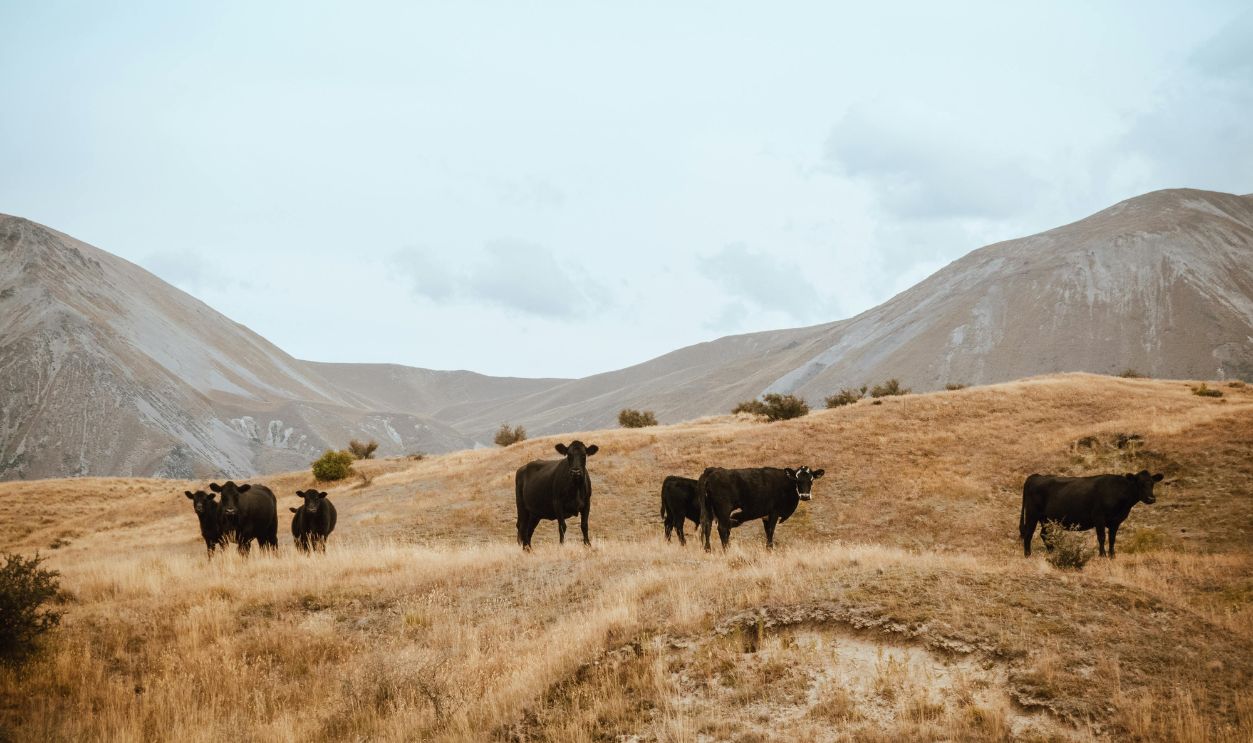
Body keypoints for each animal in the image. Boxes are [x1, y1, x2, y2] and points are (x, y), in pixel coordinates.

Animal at [1020, 470, 1163, 558]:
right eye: (1139, 483)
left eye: (1152, 483)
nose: (1151, 498)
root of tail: (1036, 476)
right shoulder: (1099, 517)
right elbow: (1102, 537)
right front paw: (1102, 556)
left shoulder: (1116, 521)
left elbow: (1112, 538)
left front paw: (1112, 556)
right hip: (1032, 513)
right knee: (1028, 533)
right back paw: (1028, 555)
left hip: (1046, 518)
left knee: (1044, 534)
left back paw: (1052, 552)